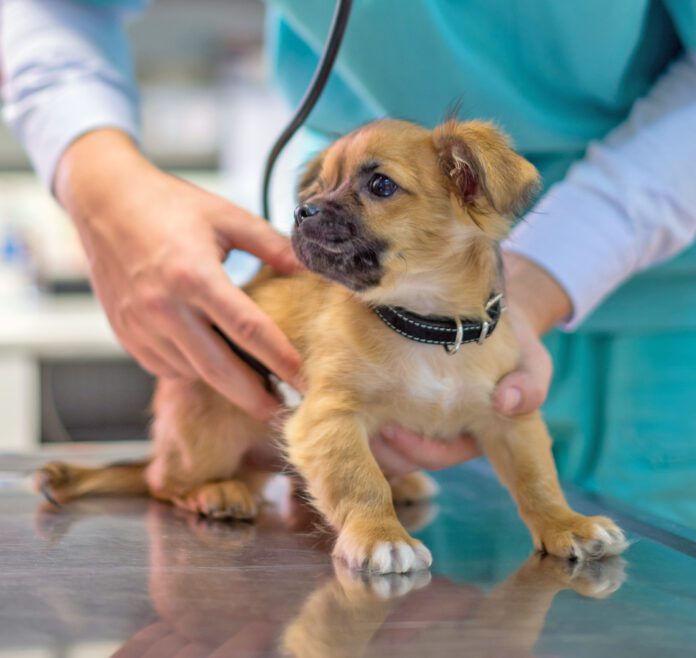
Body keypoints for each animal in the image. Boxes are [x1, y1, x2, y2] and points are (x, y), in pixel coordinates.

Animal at [36, 120, 632, 572]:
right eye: (316, 189)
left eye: (381, 186)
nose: (303, 212)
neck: (424, 324)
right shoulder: (328, 417)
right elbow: (360, 480)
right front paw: (380, 536)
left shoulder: (511, 417)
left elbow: (538, 479)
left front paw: (567, 524)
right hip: (211, 425)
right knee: (161, 481)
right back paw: (215, 493)